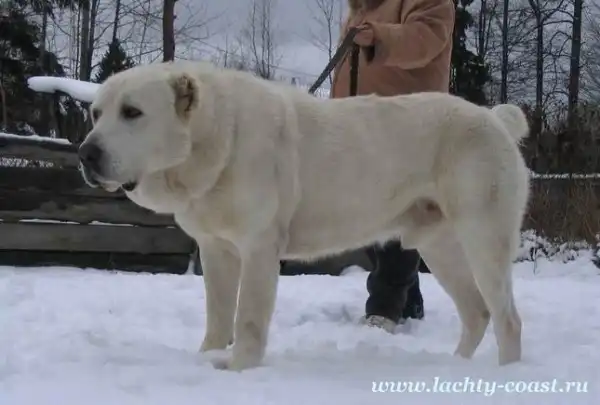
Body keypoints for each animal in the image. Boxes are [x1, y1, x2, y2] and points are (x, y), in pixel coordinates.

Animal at [78, 60, 530, 371]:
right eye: (96, 114)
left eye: (133, 112)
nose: (86, 153)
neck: (218, 139)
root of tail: (493, 117)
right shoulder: (216, 250)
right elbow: (219, 316)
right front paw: (207, 358)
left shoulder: (259, 247)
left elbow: (247, 317)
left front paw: (238, 368)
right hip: (439, 247)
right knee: (478, 313)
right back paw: (457, 367)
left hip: (483, 239)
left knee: (507, 319)